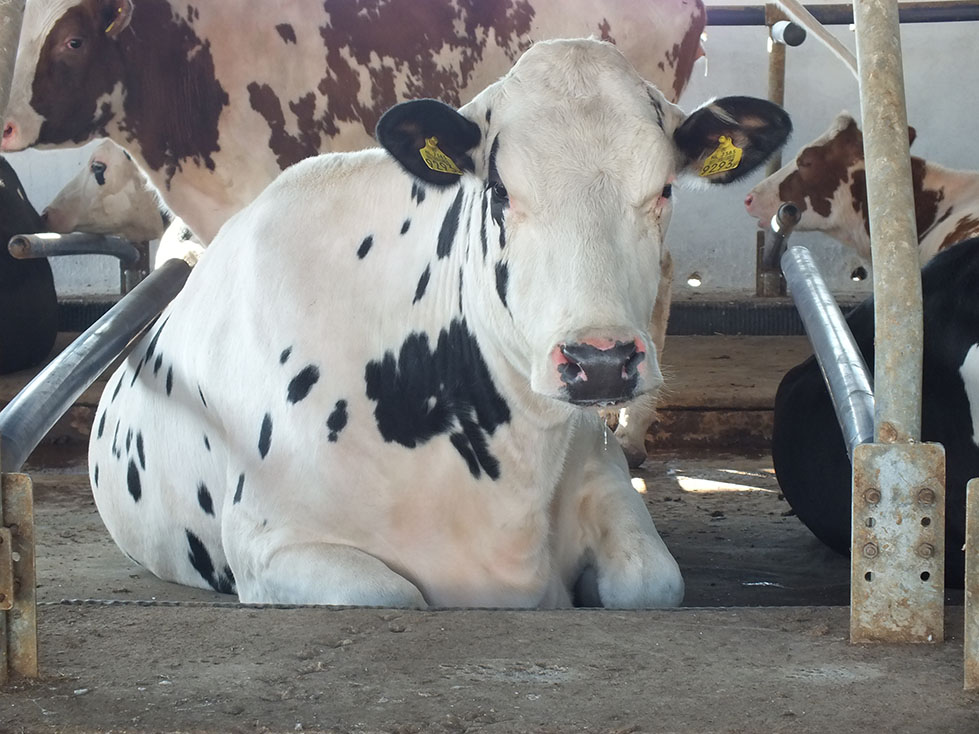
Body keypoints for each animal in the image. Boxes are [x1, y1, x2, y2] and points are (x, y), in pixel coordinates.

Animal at [87, 39, 791, 607]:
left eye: (664, 189)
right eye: (500, 191)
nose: (600, 362)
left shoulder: (608, 478)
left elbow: (652, 583)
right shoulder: (273, 541)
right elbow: (395, 595)